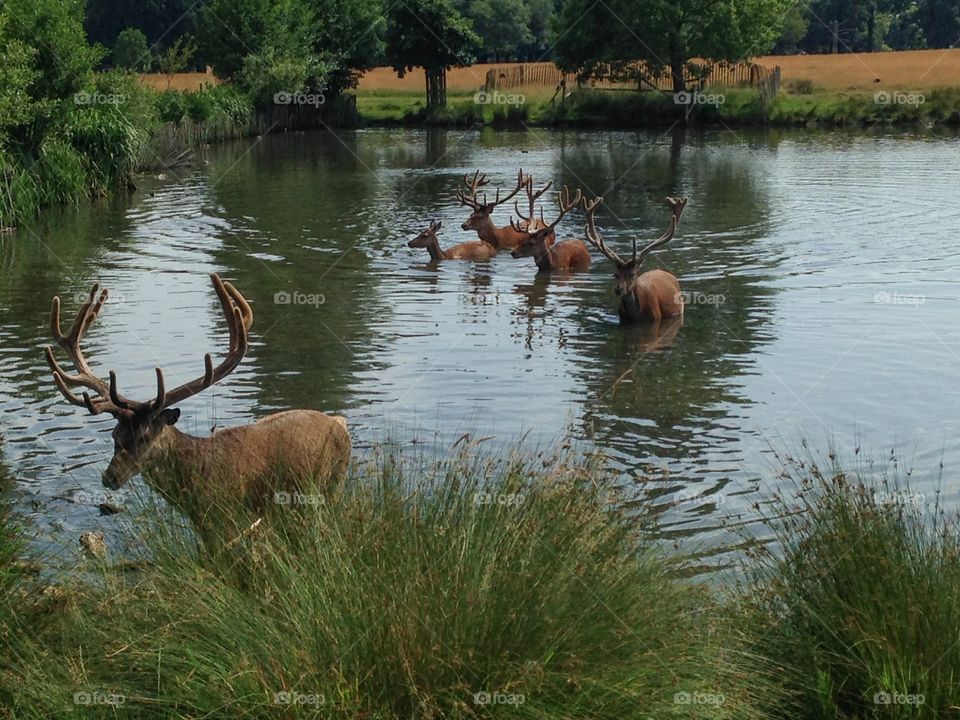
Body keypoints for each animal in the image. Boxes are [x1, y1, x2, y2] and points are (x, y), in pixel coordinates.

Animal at [44, 274, 351, 530]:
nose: (109, 477)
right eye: (114, 435)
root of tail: (339, 422)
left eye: (144, 437)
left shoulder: (231, 517)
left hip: (334, 481)